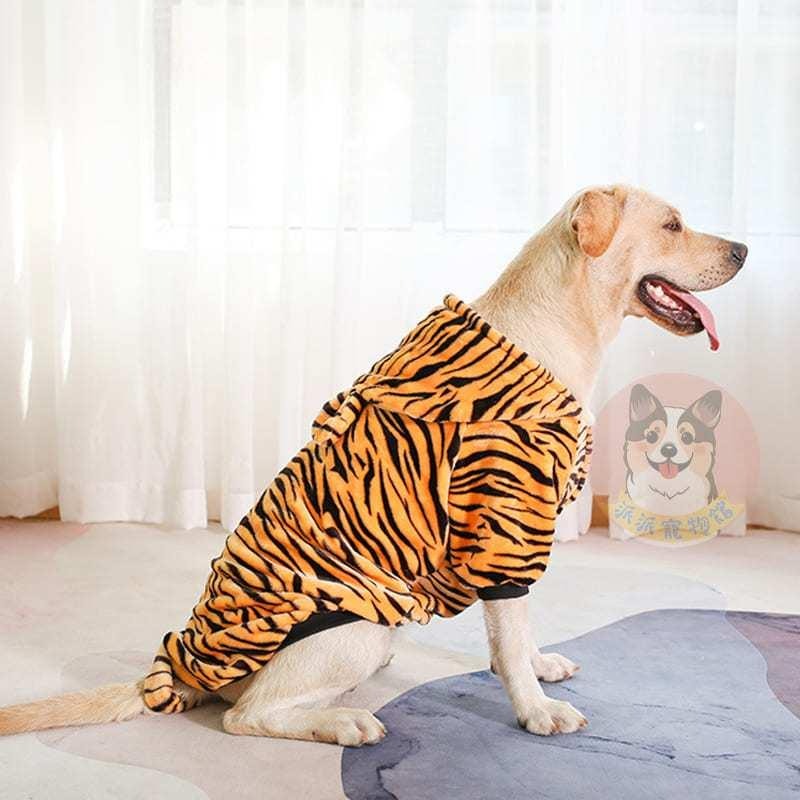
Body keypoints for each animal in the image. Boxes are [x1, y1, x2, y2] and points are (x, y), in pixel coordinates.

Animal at [142, 293, 592, 714]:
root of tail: (187, 672)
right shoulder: (504, 523)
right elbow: (511, 636)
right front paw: (537, 710)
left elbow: (519, 628)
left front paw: (541, 668)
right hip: (361, 628)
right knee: (249, 714)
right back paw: (350, 724)